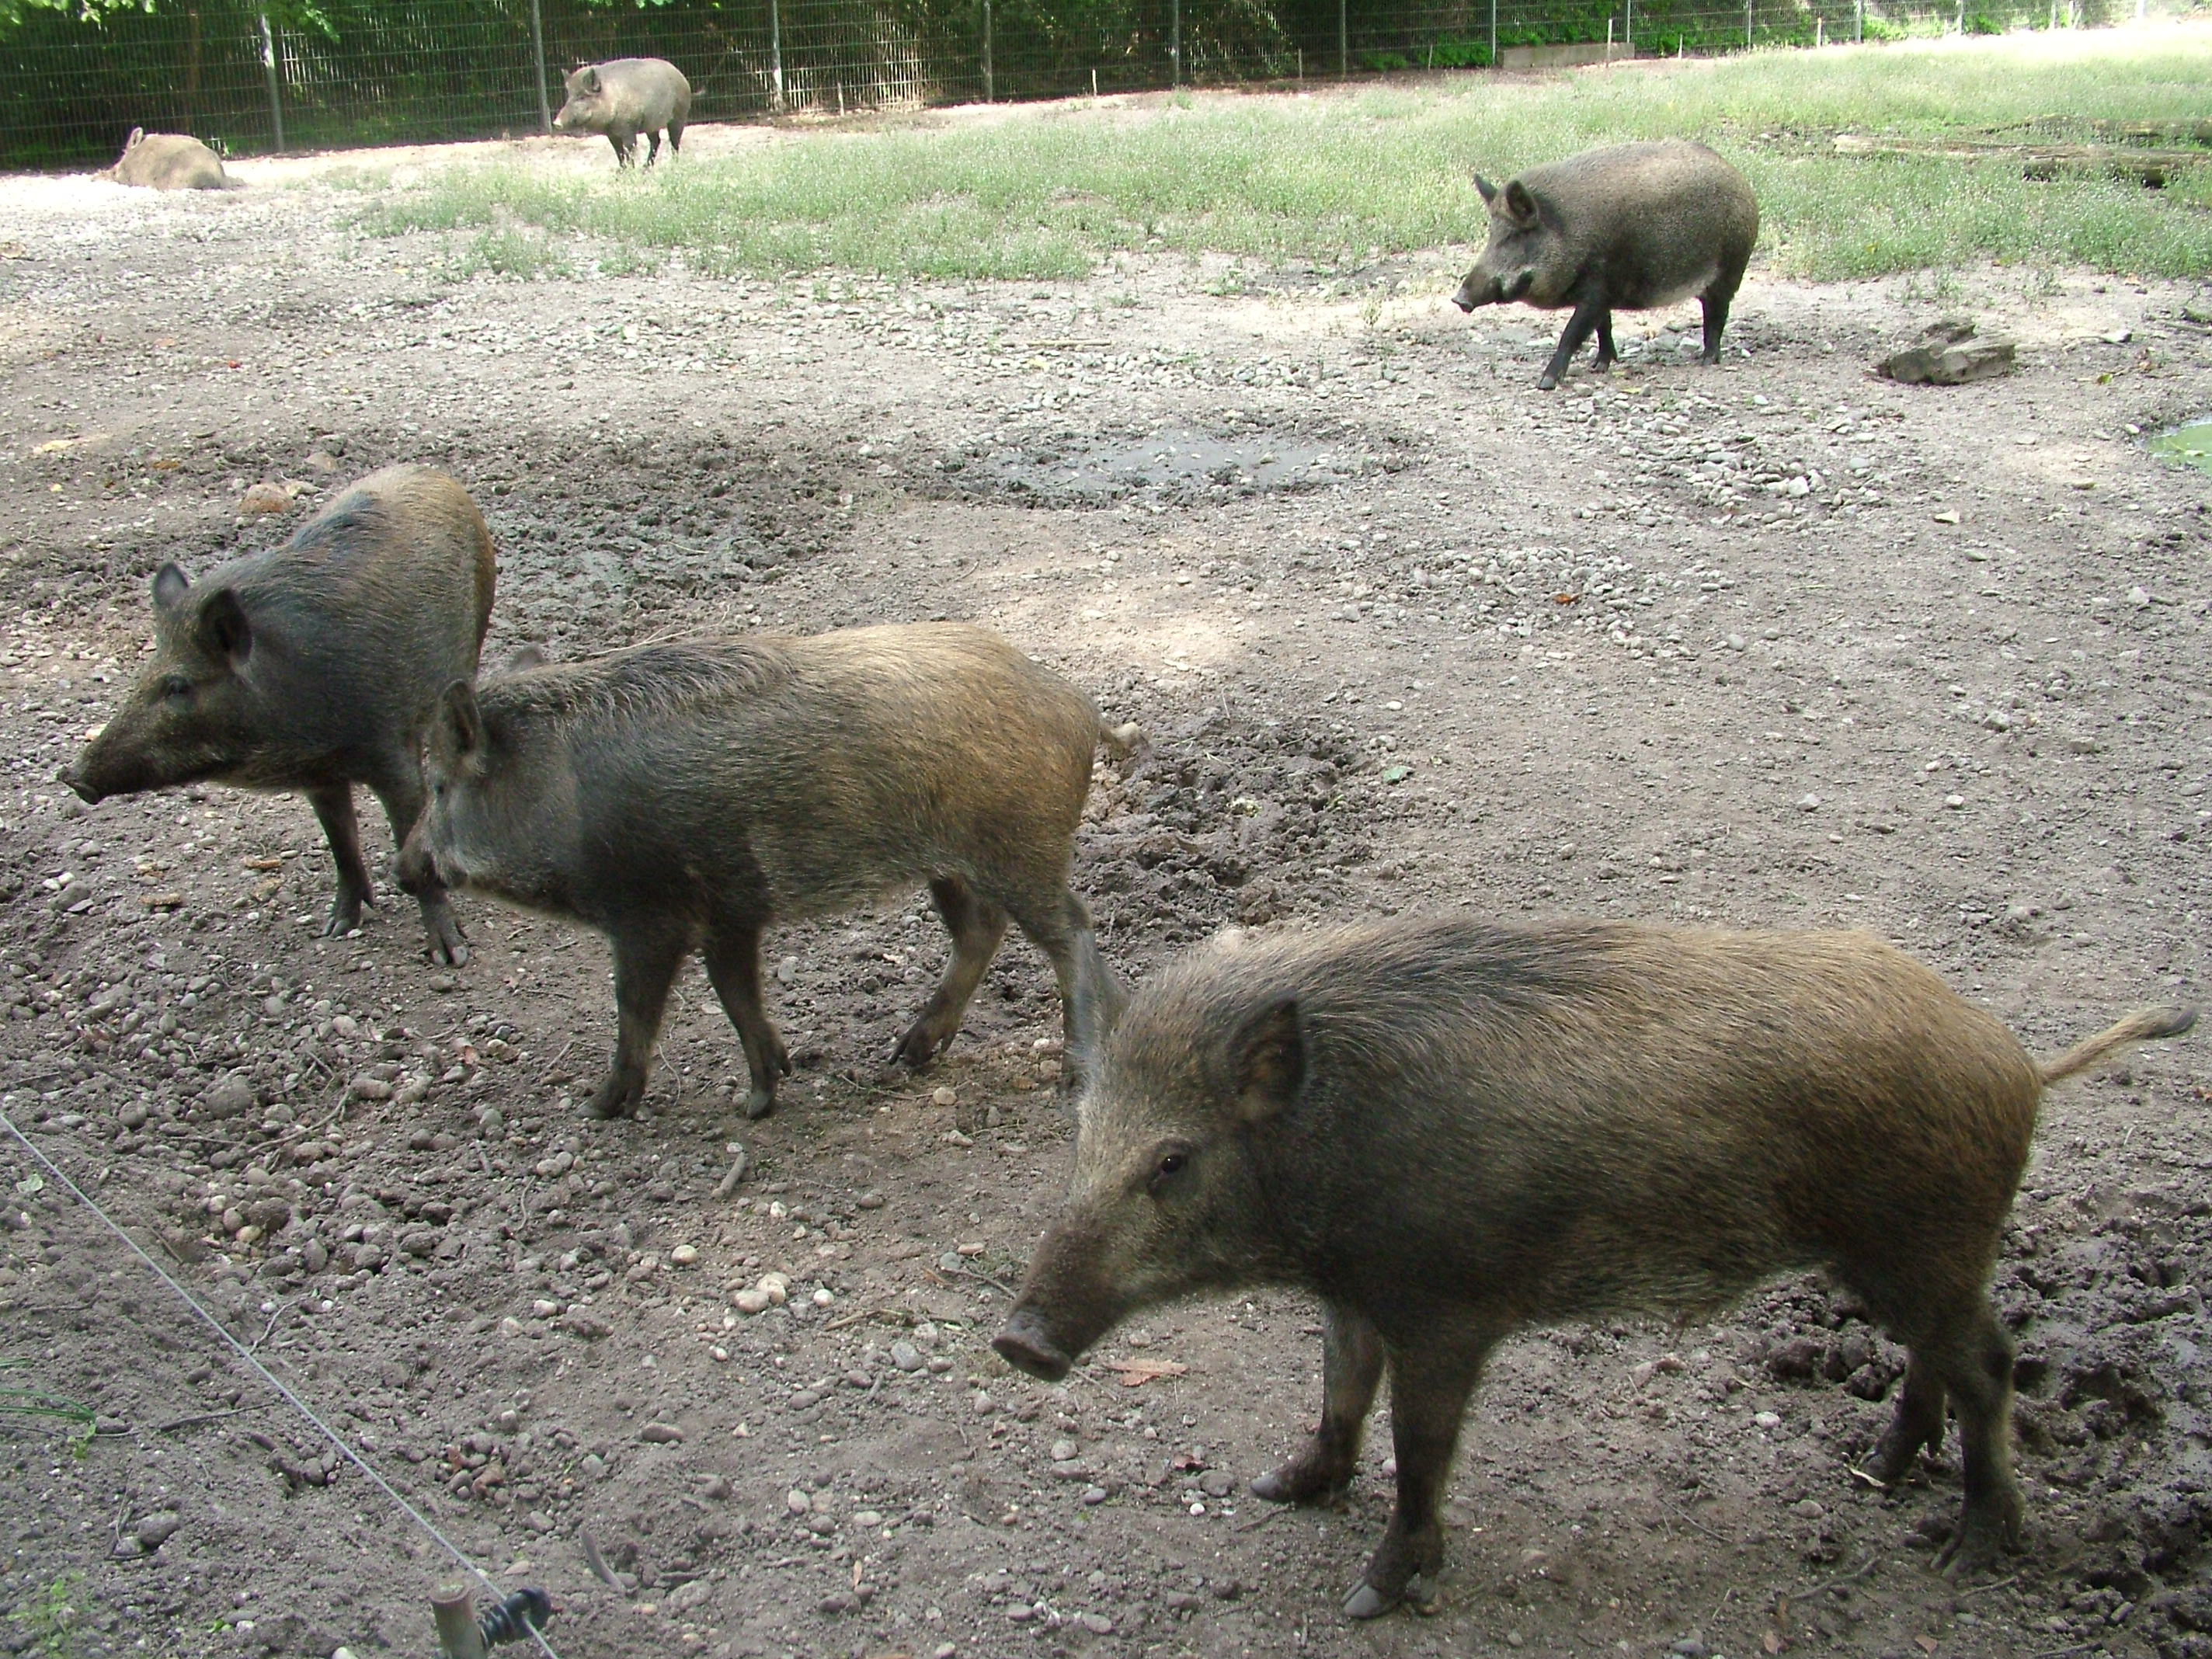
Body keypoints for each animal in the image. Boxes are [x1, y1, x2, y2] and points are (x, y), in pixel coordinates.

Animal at [64, 466, 495, 966]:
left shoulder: (391, 753)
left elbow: (409, 829)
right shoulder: (319, 776)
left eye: (178, 686)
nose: (70, 775)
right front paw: (336, 929)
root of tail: (434, 473)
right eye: (143, 675)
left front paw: (452, 955)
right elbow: (341, 845)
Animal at [397, 624, 1125, 1121]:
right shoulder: (729, 915)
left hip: (1019, 850)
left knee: (1072, 930)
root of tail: (1077, 703)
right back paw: (907, 1054)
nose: (406, 869)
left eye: (438, 786)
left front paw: (599, 1106)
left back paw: (1073, 1077)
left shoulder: (649, 916)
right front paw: (763, 1093)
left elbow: (636, 1008)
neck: (557, 797)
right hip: (952, 864)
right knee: (982, 930)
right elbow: (736, 994)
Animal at [552, 58, 691, 168]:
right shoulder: (611, 135)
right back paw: (646, 168)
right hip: (651, 125)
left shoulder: (629, 129)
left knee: (674, 142)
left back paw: (673, 164)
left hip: (679, 116)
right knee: (656, 141)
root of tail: (682, 77)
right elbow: (619, 154)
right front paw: (621, 173)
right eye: (569, 96)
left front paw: (630, 171)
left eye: (582, 97)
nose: (556, 123)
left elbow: (629, 152)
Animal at [994, 918, 2195, 1618]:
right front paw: (1283, 1488)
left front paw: (1376, 1595)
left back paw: (1969, 1553)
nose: (1016, 1339)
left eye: (1172, 1160)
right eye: (1084, 1131)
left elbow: (1418, 1449)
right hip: (1894, 1261)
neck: (1331, 1149)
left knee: (1992, 1365)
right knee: (1936, 1362)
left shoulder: (1450, 1311)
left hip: (1926, 1243)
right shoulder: (1358, 1296)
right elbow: (1338, 1399)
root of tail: (2020, 1065)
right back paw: (1881, 1472)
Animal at [1452, 140, 1758, 390]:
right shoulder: (1603, 296)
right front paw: (1599, 366)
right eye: (1492, 233)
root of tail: (1739, 178)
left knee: (1717, 314)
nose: (1459, 299)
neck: (1569, 232)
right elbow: (1603, 327)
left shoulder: (1600, 289)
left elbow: (1573, 332)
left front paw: (1545, 383)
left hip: (1731, 267)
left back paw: (1707, 360)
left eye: (1516, 235)